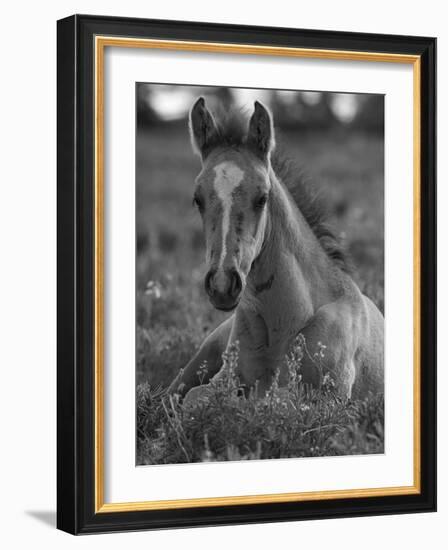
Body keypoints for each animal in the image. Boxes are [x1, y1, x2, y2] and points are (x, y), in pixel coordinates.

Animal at [166, 98, 384, 402]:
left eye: (262, 198)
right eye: (197, 199)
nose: (222, 285)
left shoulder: (328, 397)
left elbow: (265, 400)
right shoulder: (223, 380)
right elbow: (194, 400)